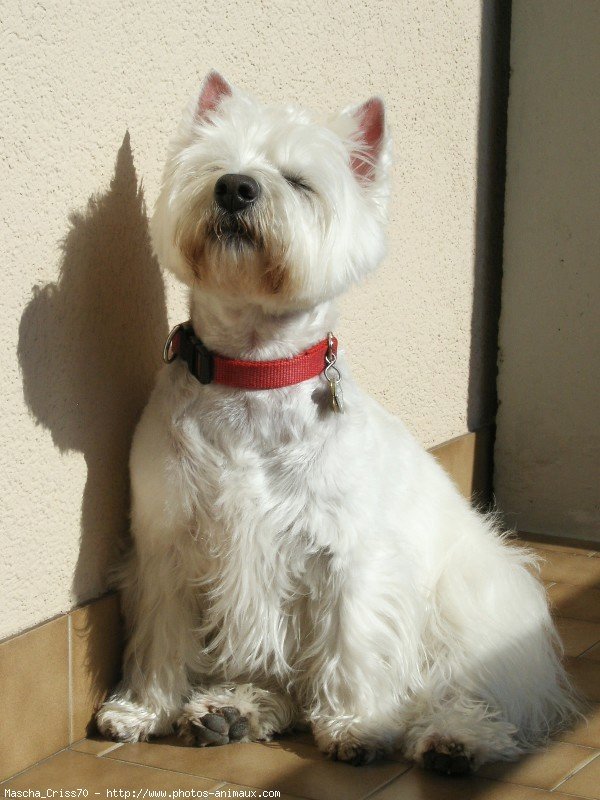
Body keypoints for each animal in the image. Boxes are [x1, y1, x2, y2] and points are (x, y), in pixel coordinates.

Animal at [96, 72, 580, 772]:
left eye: (299, 181)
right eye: (216, 165)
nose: (235, 188)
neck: (253, 372)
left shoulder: (347, 553)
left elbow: (350, 640)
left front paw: (356, 726)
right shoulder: (167, 542)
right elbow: (159, 635)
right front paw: (141, 709)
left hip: (473, 598)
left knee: (474, 686)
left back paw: (453, 739)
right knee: (281, 686)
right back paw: (230, 710)